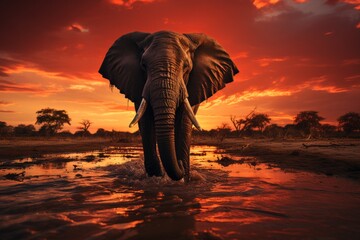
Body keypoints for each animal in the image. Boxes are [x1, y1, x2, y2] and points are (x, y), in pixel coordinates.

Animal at [98, 31, 239, 181]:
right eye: (143, 65)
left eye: (186, 67)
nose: (180, 163)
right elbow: (146, 121)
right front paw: (156, 177)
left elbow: (184, 121)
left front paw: (183, 179)